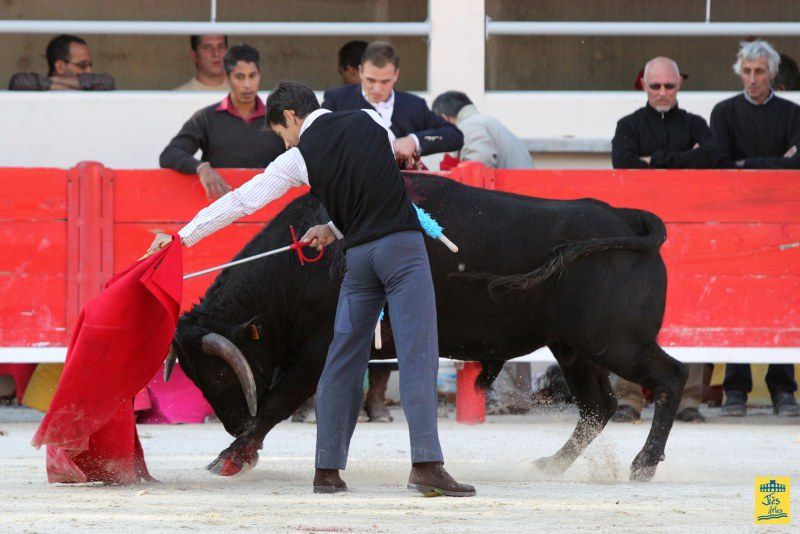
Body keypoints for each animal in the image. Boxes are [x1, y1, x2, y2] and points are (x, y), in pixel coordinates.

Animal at [173, 174, 688, 484]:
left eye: (217, 372)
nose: (233, 422)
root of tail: (625, 218)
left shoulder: (317, 351)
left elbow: (278, 403)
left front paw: (231, 455)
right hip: (575, 347)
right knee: (598, 406)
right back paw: (549, 466)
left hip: (616, 342)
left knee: (671, 377)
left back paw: (642, 466)